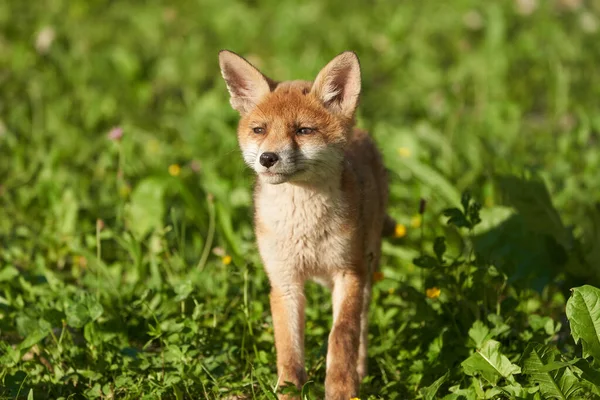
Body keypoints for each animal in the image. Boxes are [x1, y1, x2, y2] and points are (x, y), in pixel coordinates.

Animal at [219, 50, 394, 400]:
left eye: (303, 131)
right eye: (259, 130)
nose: (267, 158)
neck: (304, 229)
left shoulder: (348, 273)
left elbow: (341, 335)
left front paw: (341, 389)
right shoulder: (284, 282)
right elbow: (288, 350)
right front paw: (288, 391)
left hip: (367, 267)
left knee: (362, 326)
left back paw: (361, 373)